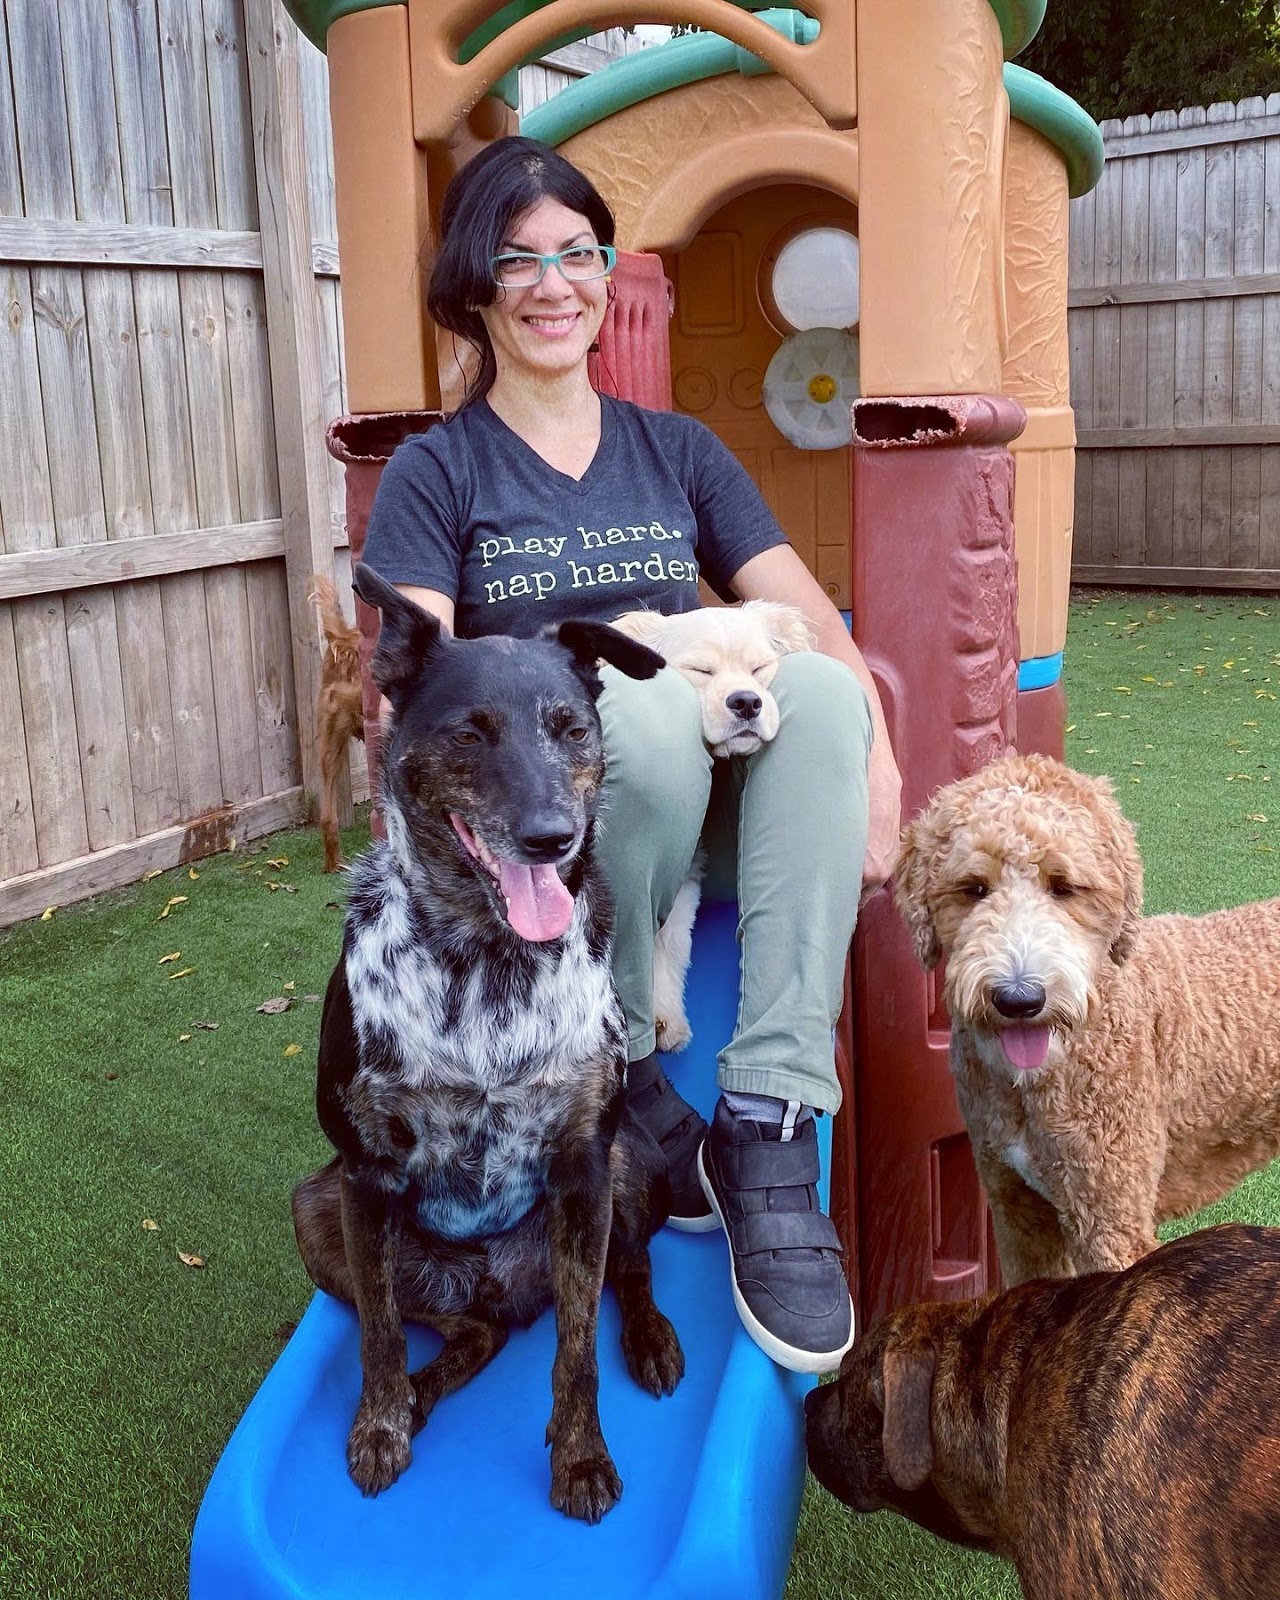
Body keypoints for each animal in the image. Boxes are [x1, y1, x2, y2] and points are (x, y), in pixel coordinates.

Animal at [294, 566, 684, 1523]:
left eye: (571, 728)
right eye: (469, 733)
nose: (552, 837)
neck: (485, 960)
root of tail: (504, 1286)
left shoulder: (584, 1163)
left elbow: (578, 1349)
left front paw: (580, 1458)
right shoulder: (363, 1177)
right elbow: (380, 1334)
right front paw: (381, 1426)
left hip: (625, 1168)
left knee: (629, 1270)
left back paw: (652, 1339)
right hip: (318, 1210)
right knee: (468, 1332)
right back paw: (424, 1390)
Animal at [608, 601, 809, 1049]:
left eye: (759, 668)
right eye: (701, 670)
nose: (747, 702)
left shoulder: (682, 878)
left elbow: (667, 943)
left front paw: (664, 1016)